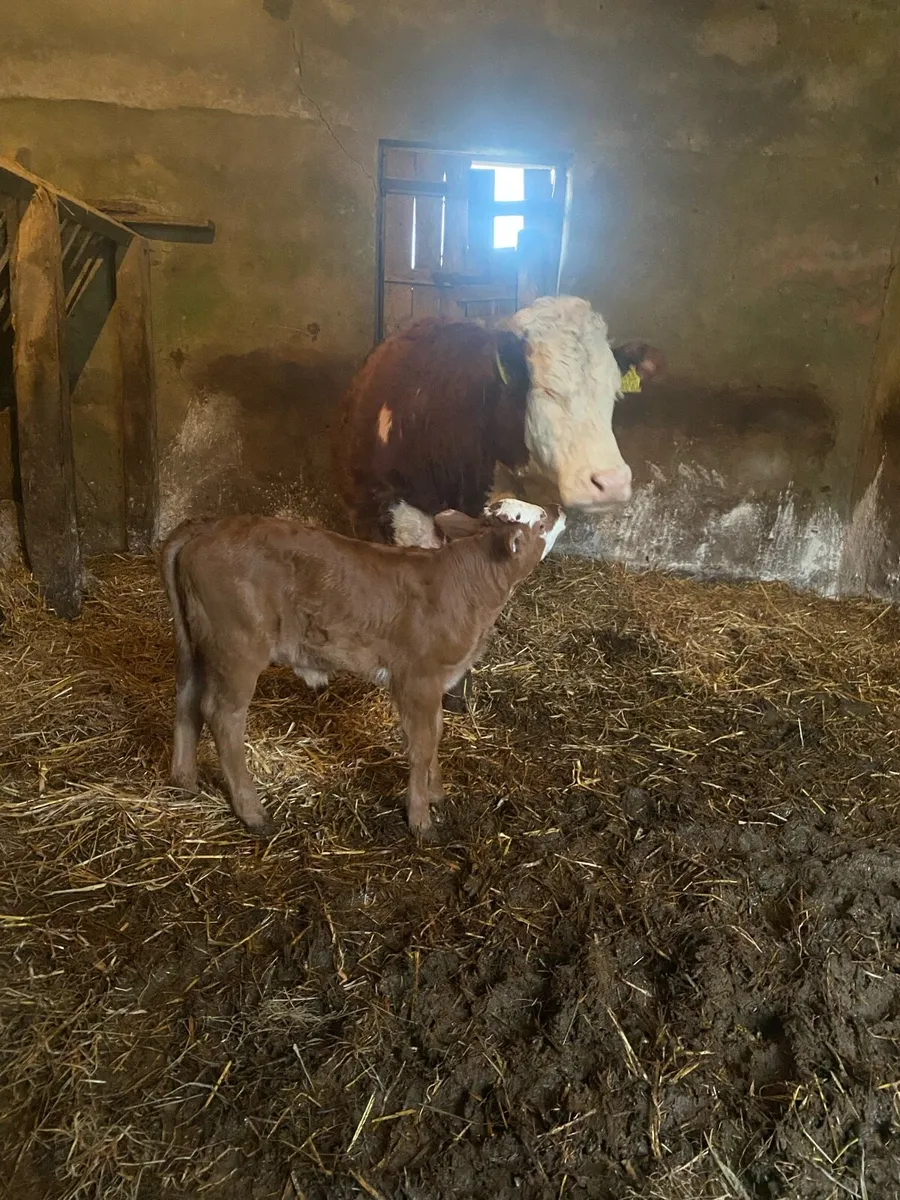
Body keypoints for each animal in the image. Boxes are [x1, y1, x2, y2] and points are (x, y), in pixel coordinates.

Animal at [160, 499, 566, 839]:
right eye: (541, 521)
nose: (559, 508)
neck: (468, 585)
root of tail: (209, 526)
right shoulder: (416, 679)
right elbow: (421, 744)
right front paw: (421, 821)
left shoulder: (437, 682)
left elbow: (436, 733)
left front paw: (436, 794)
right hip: (238, 647)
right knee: (222, 714)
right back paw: (252, 812)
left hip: (196, 643)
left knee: (186, 698)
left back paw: (185, 782)